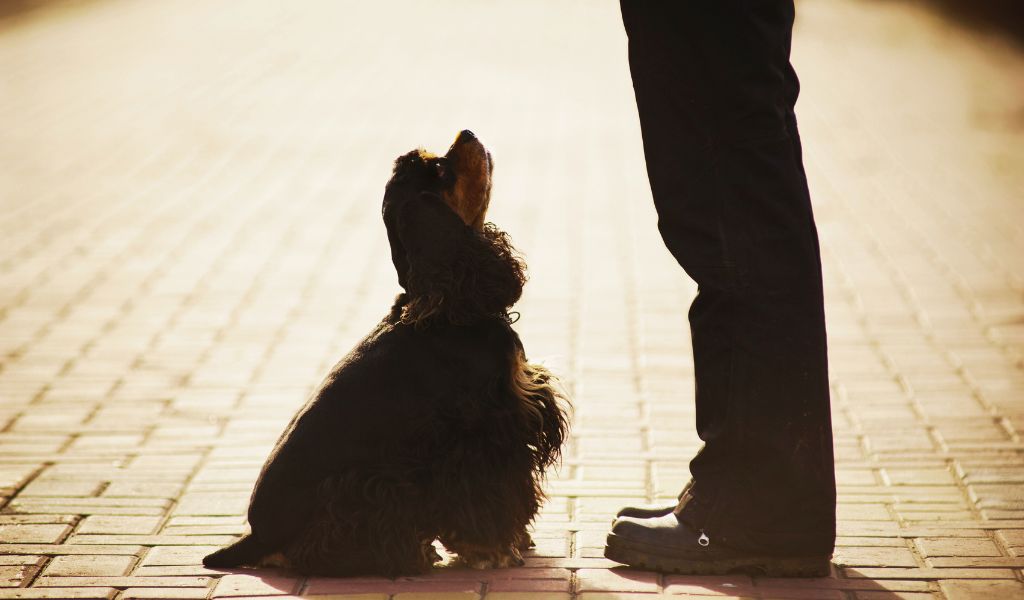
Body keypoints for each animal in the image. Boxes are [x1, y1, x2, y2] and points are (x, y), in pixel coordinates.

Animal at [199, 129, 569, 573]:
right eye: (439, 168)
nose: (467, 133)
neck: (450, 306)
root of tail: (256, 537)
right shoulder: (482, 429)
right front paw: (493, 550)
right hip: (366, 487)